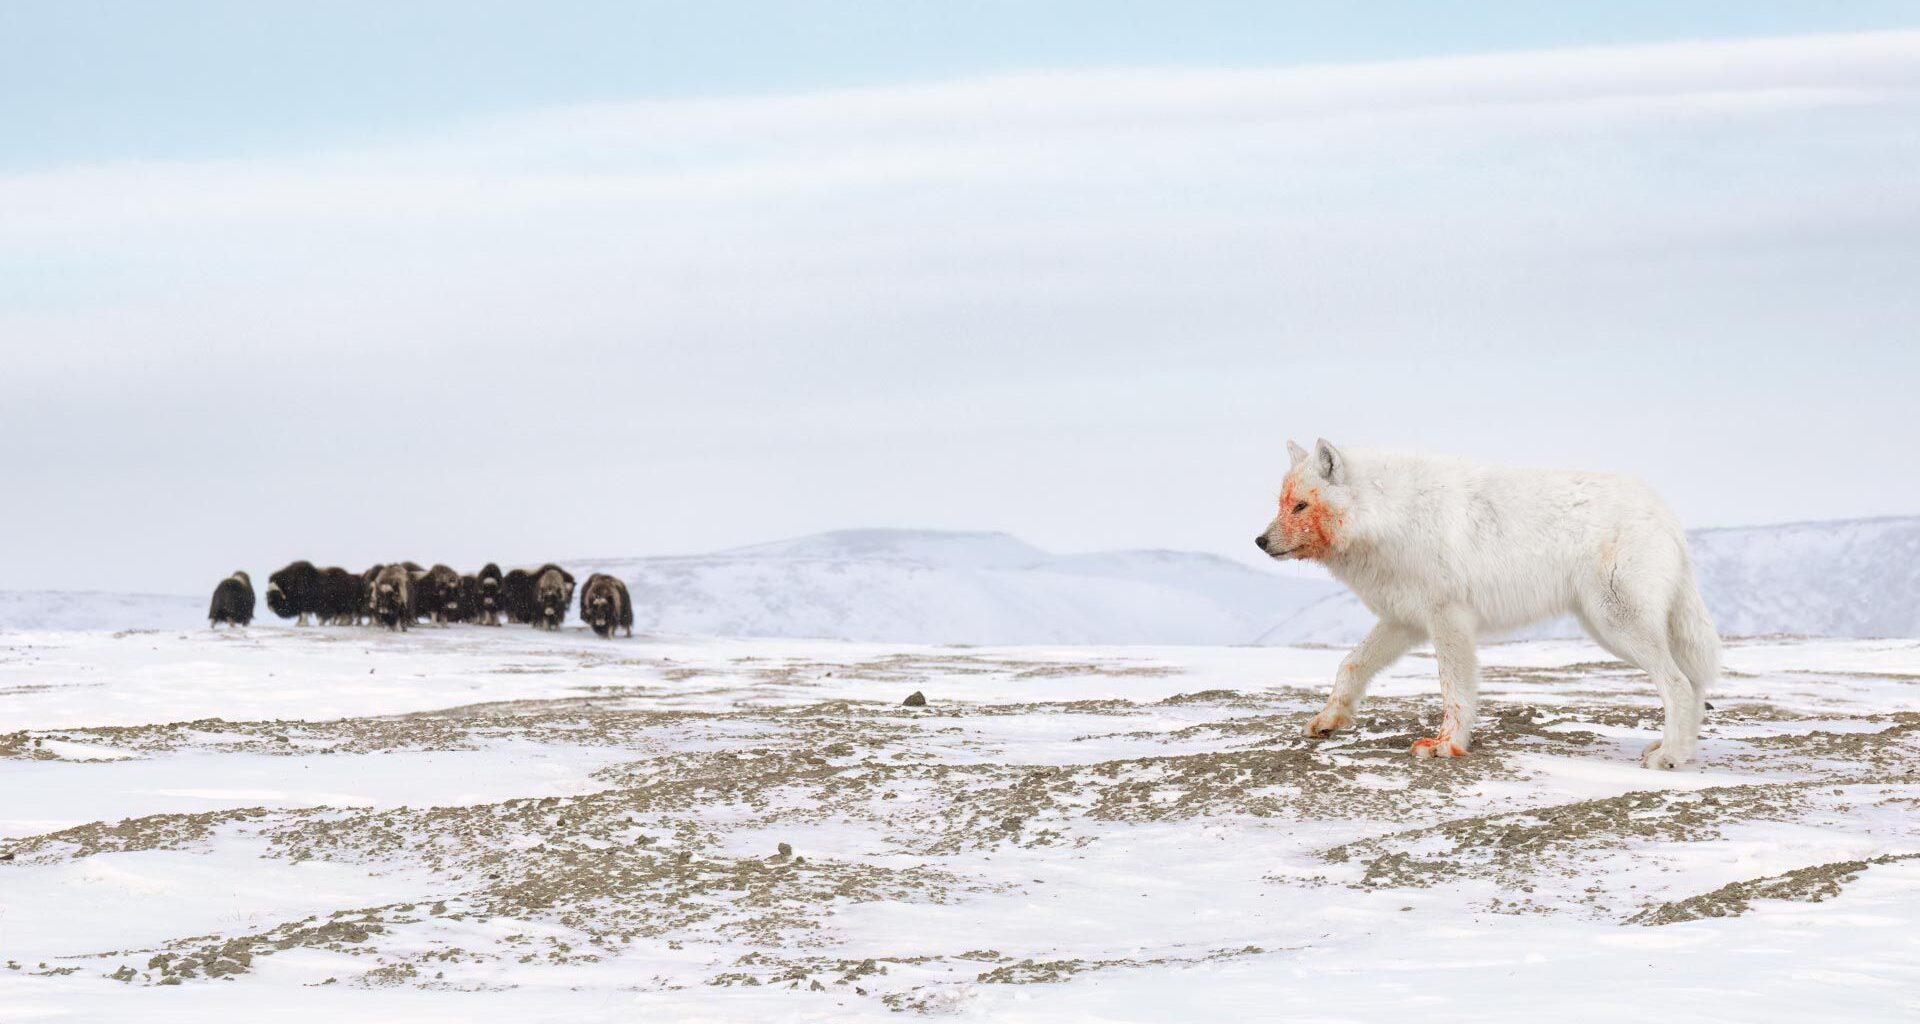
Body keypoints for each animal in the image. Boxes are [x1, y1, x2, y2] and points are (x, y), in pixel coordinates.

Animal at [1256, 440, 1719, 769]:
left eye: (1301, 505)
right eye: (1282, 504)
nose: (1259, 541)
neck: (1391, 514)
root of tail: (1665, 513)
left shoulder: (1449, 619)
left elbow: (1454, 690)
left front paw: (1446, 745)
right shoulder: (1404, 620)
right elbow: (1350, 666)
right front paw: (1328, 721)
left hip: (1617, 626)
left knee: (1678, 684)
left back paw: (1669, 756)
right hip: (1609, 628)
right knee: (1693, 686)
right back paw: (1679, 750)